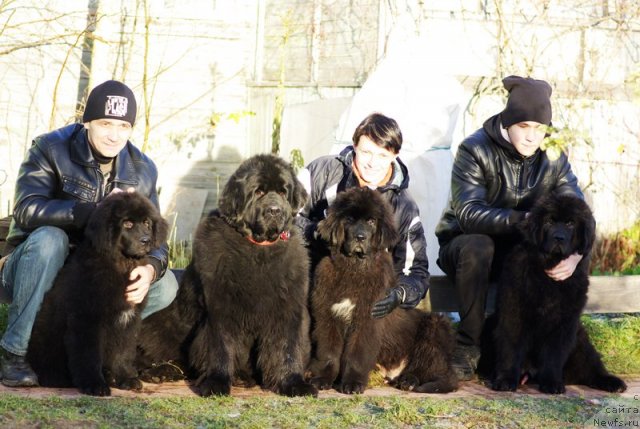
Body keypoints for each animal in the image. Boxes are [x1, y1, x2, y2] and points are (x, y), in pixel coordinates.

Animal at [27, 191, 168, 394]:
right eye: (127, 224)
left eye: (147, 223)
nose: (146, 241)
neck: (121, 264)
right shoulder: (87, 318)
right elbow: (88, 355)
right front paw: (95, 385)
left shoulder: (128, 318)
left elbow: (123, 352)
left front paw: (126, 379)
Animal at [137, 154, 318, 394]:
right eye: (258, 192)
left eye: (282, 192)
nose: (275, 210)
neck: (259, 250)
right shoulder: (221, 306)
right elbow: (221, 346)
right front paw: (216, 382)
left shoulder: (287, 307)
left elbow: (287, 347)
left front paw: (294, 383)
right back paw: (161, 371)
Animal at [308, 186, 458, 392]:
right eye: (349, 219)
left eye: (371, 221)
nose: (360, 237)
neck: (354, 268)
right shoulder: (328, 315)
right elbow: (328, 352)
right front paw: (322, 379)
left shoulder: (367, 320)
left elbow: (357, 353)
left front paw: (352, 383)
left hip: (435, 327)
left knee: (432, 368)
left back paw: (410, 381)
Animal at [480, 192, 624, 392]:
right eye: (549, 221)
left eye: (570, 223)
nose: (559, 238)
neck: (547, 269)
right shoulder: (513, 312)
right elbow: (511, 346)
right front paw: (505, 380)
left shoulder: (564, 322)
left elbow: (554, 354)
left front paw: (552, 383)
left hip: (581, 341)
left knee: (591, 368)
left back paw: (612, 382)